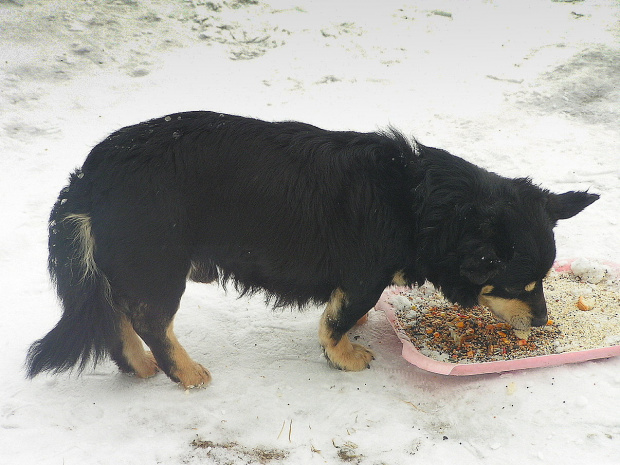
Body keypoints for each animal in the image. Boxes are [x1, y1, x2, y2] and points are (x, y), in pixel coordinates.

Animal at [26, 110, 600, 386]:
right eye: (522, 283)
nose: (544, 322)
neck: (422, 203)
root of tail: (92, 173)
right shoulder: (364, 275)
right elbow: (335, 321)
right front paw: (344, 356)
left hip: (129, 265)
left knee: (117, 315)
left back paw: (139, 366)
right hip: (159, 263)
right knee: (149, 320)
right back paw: (185, 373)